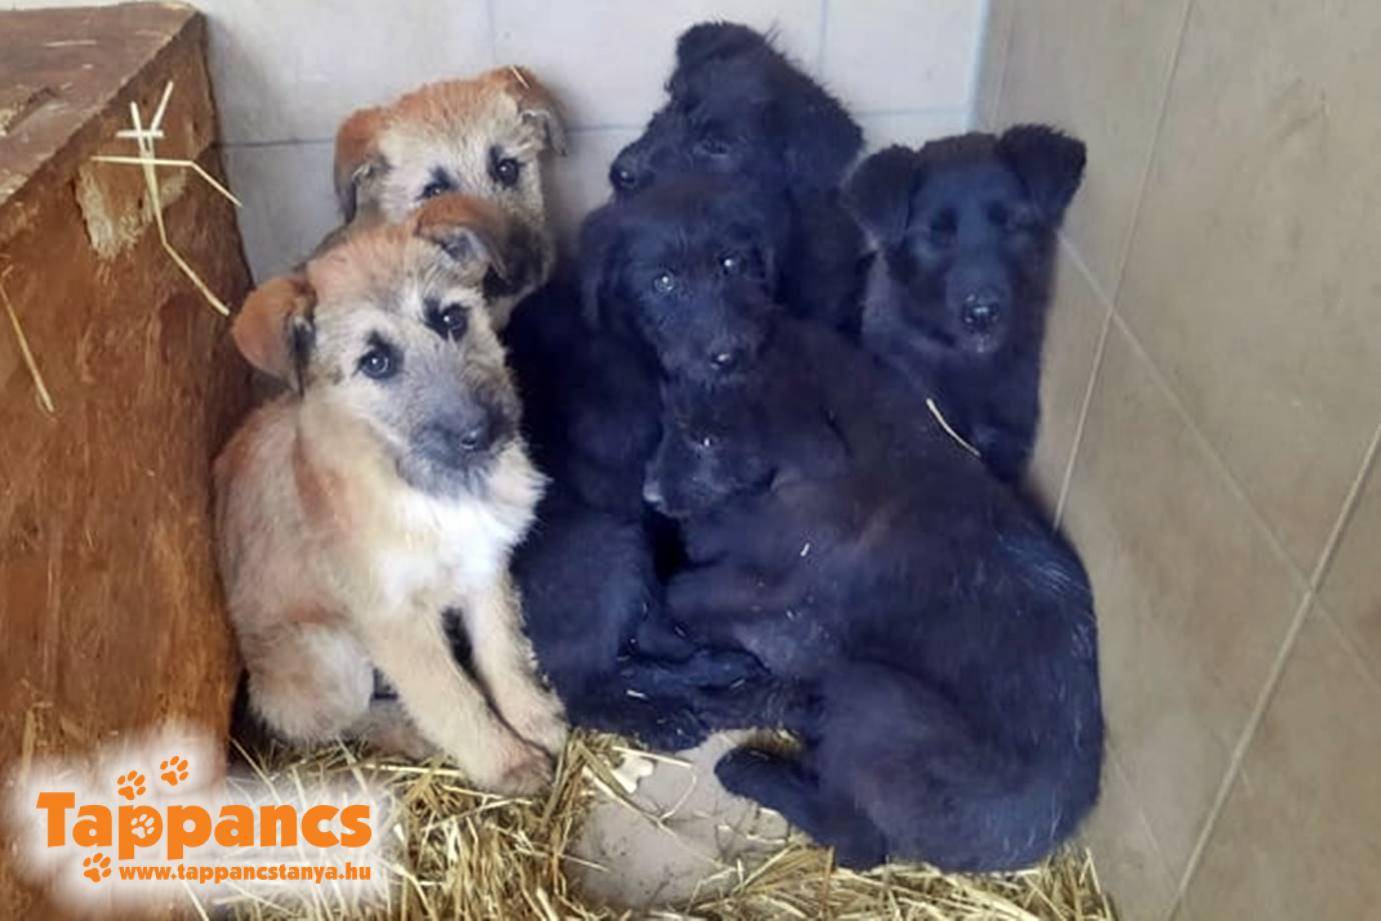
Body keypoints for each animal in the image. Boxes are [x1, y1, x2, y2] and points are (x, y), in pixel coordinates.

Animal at [214, 195, 566, 794]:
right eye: (375, 362)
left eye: (451, 319)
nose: (483, 433)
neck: (428, 485)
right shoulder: (394, 622)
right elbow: (452, 698)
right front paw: (505, 762)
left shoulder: (485, 567)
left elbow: (501, 649)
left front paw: (531, 717)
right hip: (331, 656)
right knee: (326, 723)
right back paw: (406, 732)